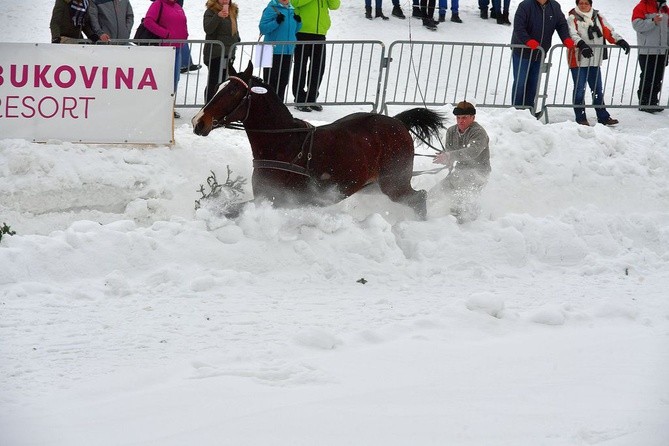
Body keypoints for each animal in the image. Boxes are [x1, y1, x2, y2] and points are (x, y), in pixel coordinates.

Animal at [192, 61, 444, 220]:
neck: (284, 144)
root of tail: (398, 123)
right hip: (374, 186)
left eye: (233, 92)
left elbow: (231, 210)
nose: (198, 122)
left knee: (419, 198)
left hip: (394, 183)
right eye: (220, 87)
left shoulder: (276, 199)